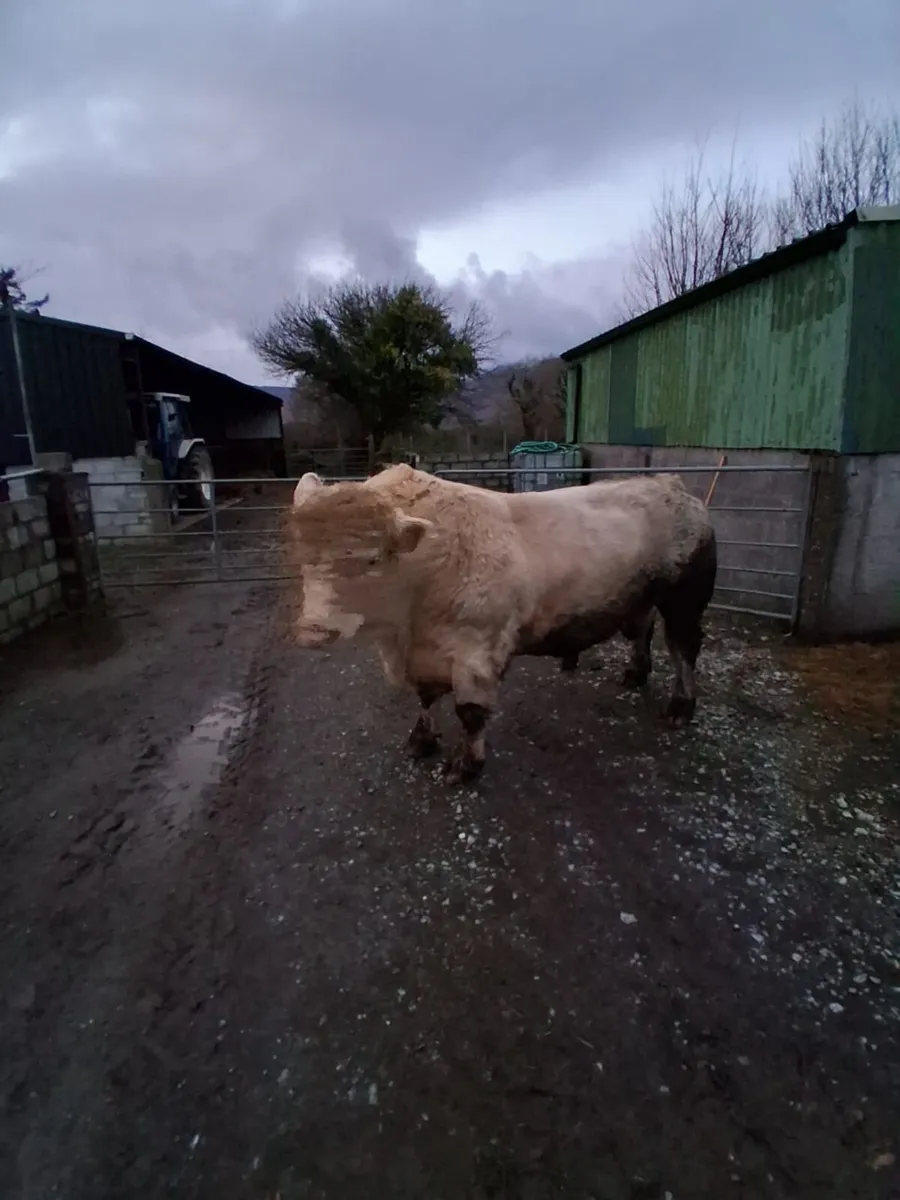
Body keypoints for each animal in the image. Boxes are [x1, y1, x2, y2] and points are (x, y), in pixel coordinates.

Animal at [287, 463, 717, 786]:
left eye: (372, 559)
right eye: (301, 555)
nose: (313, 630)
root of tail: (669, 485)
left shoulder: (478, 654)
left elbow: (470, 714)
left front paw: (465, 766)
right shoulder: (425, 655)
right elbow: (425, 698)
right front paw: (421, 740)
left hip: (684, 600)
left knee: (683, 648)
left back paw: (681, 706)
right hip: (641, 596)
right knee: (641, 630)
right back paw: (636, 673)